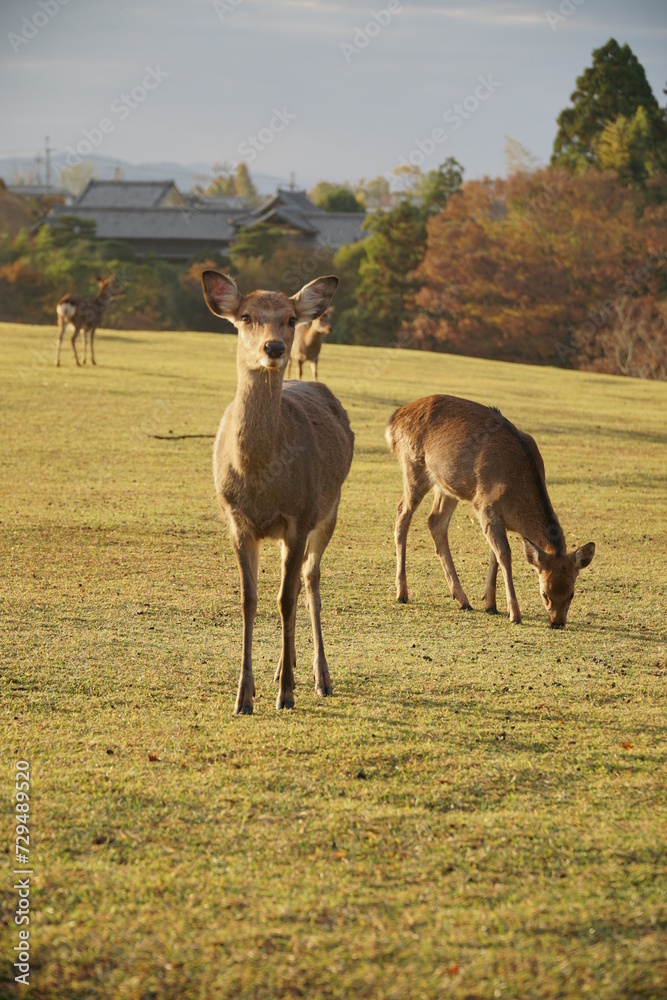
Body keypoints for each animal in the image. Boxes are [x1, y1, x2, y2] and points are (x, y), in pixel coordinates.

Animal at [201, 270, 354, 714]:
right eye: (246, 316)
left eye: (289, 319)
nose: (274, 347)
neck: (259, 481)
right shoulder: (236, 521)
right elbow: (248, 600)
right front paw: (244, 695)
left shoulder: (299, 518)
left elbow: (285, 599)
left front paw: (285, 694)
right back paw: (284, 669)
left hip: (330, 510)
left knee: (310, 580)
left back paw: (319, 678)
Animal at [386, 394, 595, 628]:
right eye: (544, 593)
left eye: (572, 594)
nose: (557, 623)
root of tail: (394, 420)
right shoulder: (485, 505)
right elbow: (504, 554)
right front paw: (514, 614)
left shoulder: (495, 516)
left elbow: (494, 554)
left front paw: (491, 604)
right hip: (413, 466)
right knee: (402, 515)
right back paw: (402, 593)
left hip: (448, 485)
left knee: (434, 521)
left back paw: (462, 599)